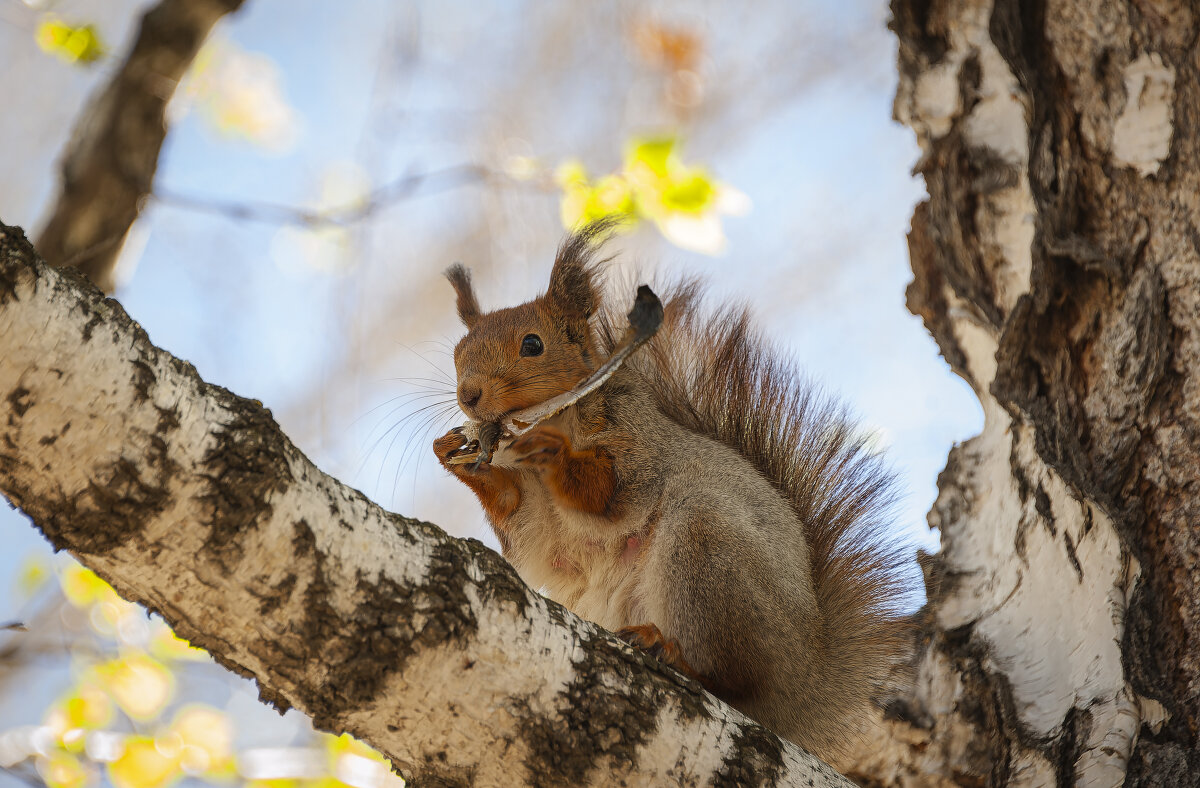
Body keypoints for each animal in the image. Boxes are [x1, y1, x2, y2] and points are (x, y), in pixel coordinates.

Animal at [432, 221, 908, 761]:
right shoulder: (531, 515)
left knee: (733, 680)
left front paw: (550, 449)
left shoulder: (638, 445)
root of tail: (805, 686)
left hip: (707, 555)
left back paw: (673, 652)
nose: (468, 396)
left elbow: (608, 497)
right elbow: (521, 518)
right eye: (457, 355)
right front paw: (452, 451)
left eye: (532, 345)